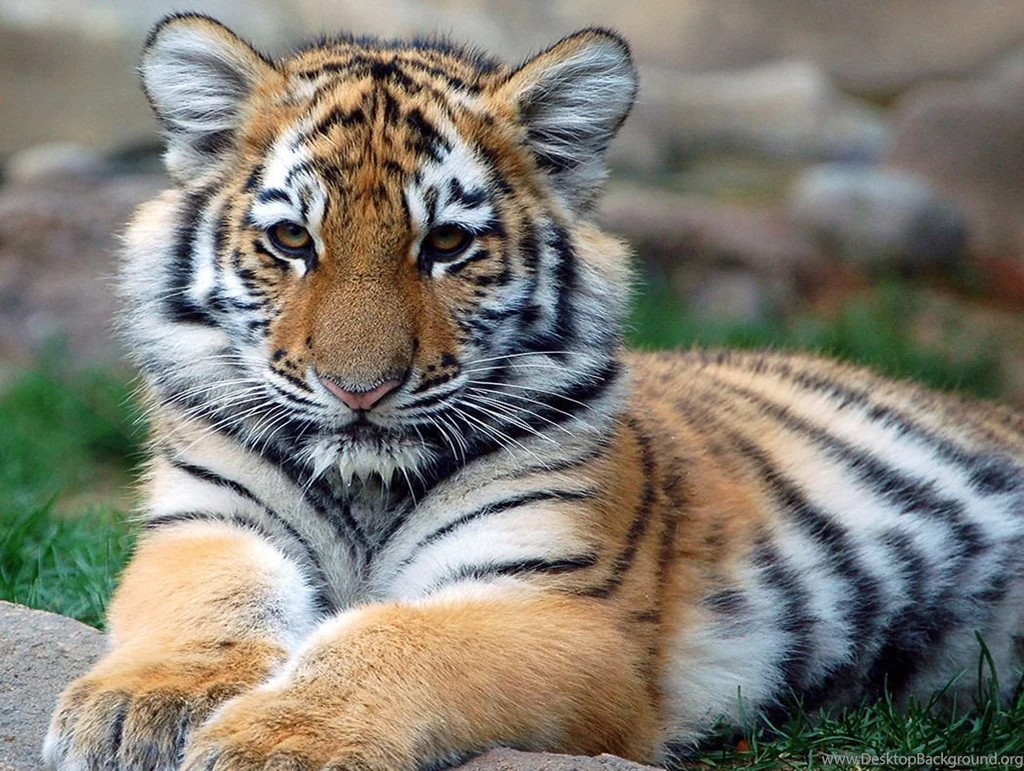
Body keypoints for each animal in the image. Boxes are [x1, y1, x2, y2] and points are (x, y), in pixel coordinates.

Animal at [44, 12, 1024, 771]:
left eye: (445, 245)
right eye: (291, 240)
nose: (360, 389)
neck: (366, 486)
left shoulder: (560, 607)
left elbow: (393, 639)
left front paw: (282, 739)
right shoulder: (207, 522)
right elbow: (206, 604)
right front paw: (139, 706)